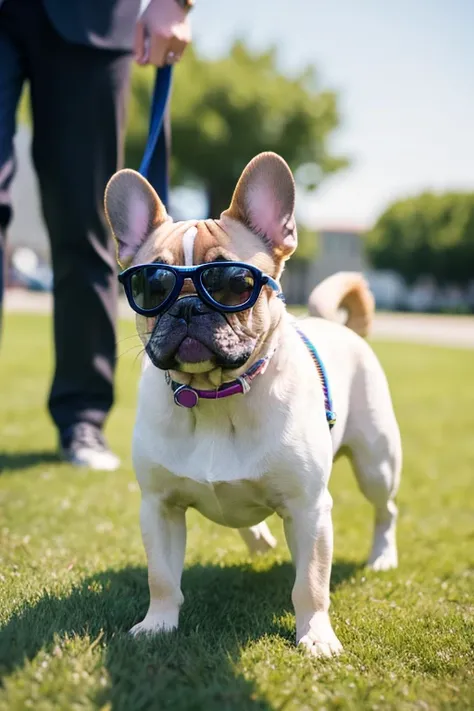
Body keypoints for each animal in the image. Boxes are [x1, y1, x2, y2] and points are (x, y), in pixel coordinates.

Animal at [103, 153, 400, 660]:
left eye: (234, 283)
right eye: (150, 288)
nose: (185, 308)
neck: (214, 394)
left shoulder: (309, 509)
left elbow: (310, 583)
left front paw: (316, 635)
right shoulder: (159, 508)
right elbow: (162, 577)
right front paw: (157, 625)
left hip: (376, 464)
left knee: (386, 510)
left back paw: (382, 556)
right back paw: (257, 536)